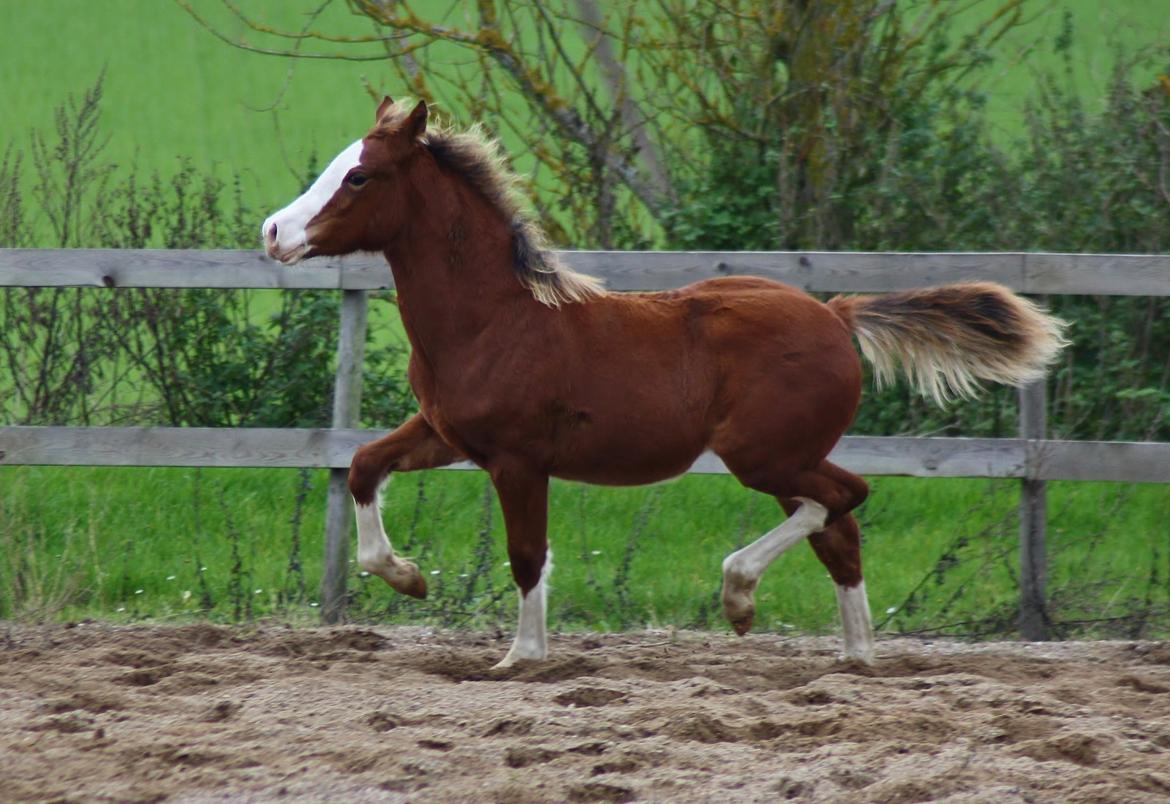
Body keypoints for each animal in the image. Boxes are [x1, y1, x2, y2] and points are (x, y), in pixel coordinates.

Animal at [260, 97, 1067, 669]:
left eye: (359, 175)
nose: (273, 232)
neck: (494, 320)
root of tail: (837, 316)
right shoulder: (444, 433)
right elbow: (363, 466)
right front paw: (407, 577)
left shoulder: (518, 460)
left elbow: (527, 554)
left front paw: (522, 656)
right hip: (788, 456)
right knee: (840, 528)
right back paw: (856, 655)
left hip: (764, 455)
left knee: (844, 499)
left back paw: (741, 597)